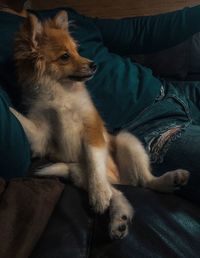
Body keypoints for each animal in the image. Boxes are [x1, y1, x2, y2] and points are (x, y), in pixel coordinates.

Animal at [10, 10, 190, 240]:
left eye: (77, 50)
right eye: (65, 56)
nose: (94, 65)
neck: (60, 91)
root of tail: (120, 178)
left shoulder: (91, 130)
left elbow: (94, 160)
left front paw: (98, 193)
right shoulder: (41, 135)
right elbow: (19, 118)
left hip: (125, 140)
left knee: (145, 182)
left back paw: (168, 181)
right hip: (78, 172)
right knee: (118, 192)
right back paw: (117, 217)